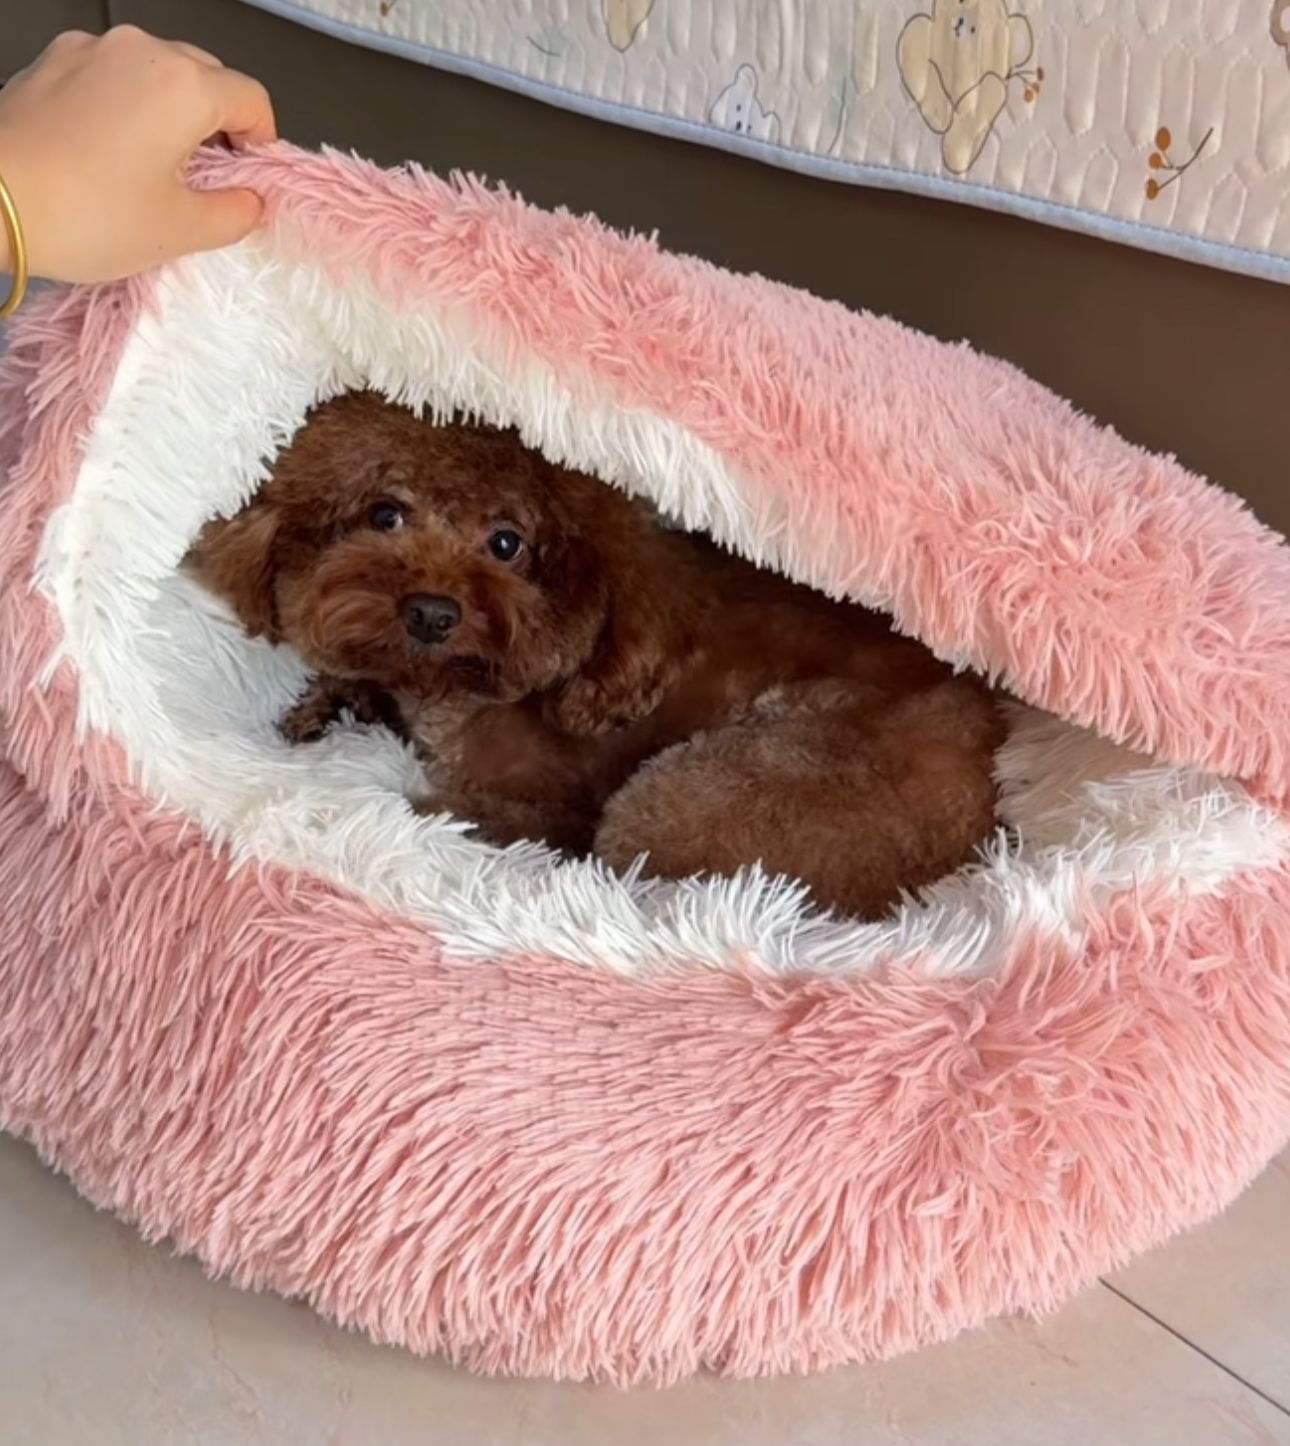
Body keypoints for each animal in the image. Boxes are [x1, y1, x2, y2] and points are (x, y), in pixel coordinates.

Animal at [190, 391, 1003, 918]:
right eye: (384, 514)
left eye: (508, 543)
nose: (431, 611)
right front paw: (332, 701)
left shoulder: (546, 799)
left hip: (696, 795)